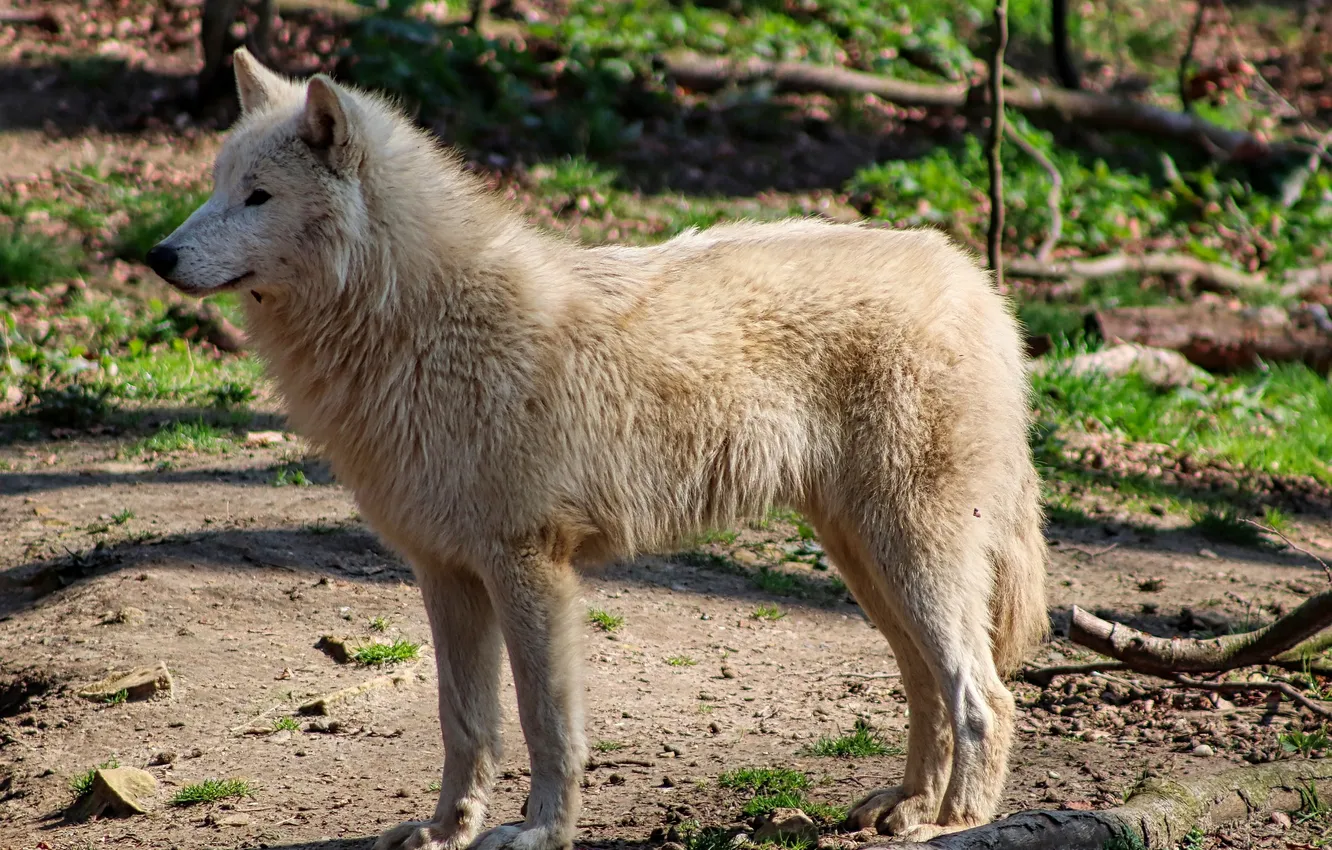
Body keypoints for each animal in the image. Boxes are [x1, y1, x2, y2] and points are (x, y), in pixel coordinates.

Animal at [147, 47, 1049, 849]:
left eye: (258, 196)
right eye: (216, 188)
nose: (157, 255)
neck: (415, 318)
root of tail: (977, 282)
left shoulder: (530, 565)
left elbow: (546, 724)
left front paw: (540, 832)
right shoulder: (445, 574)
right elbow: (464, 723)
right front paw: (444, 831)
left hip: (910, 556)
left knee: (985, 695)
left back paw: (956, 822)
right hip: (864, 560)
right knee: (927, 684)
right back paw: (905, 805)